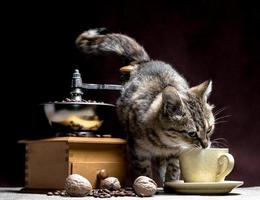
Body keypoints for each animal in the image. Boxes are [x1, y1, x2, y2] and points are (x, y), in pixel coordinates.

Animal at [75, 28, 215, 184]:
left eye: (209, 129)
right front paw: (147, 183)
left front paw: (169, 182)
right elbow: (144, 173)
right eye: (192, 133)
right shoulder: (137, 151)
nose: (206, 145)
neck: (165, 143)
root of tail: (145, 62)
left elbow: (173, 171)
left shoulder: (177, 153)